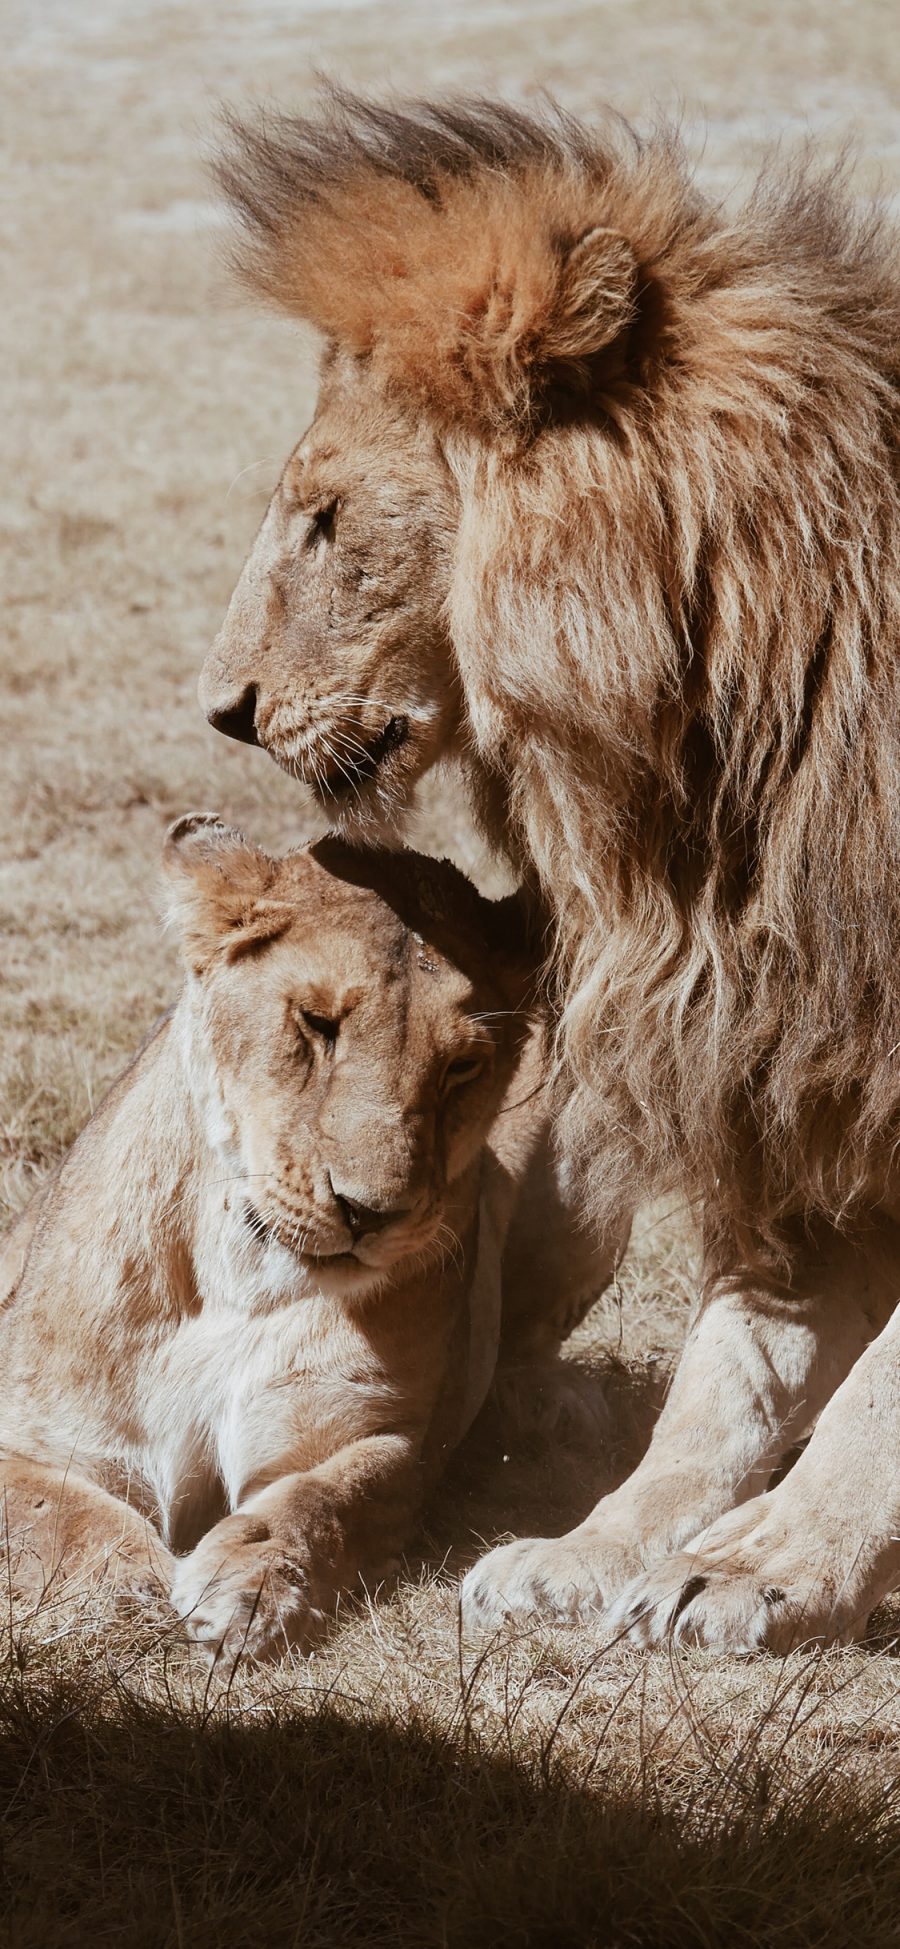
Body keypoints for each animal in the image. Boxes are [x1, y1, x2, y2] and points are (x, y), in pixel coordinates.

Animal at [3, 814, 603, 1652]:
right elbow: (49, 1508)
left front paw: (250, 1586)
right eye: (316, 1023)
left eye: (461, 1066)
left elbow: (320, 1500)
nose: (371, 1211)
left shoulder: (378, 1434)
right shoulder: (46, 1437)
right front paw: (123, 1580)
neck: (237, 1274)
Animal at [198, 87, 900, 1644]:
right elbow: (731, 1366)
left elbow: (880, 1386)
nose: (221, 709)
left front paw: (771, 1560)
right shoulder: (786, 1050)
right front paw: (603, 1551)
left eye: (328, 517)